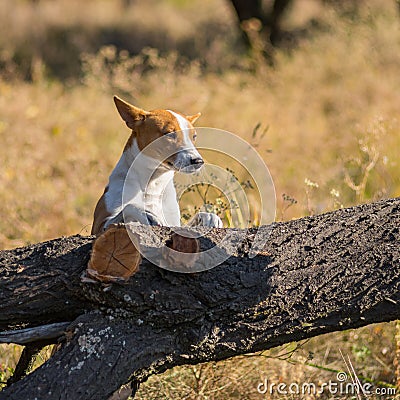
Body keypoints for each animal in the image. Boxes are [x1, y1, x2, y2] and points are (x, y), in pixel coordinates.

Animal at [91, 95, 225, 236]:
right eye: (169, 134)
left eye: (194, 136)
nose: (198, 161)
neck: (152, 184)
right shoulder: (99, 227)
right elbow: (128, 207)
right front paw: (146, 213)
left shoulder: (174, 224)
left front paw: (210, 217)